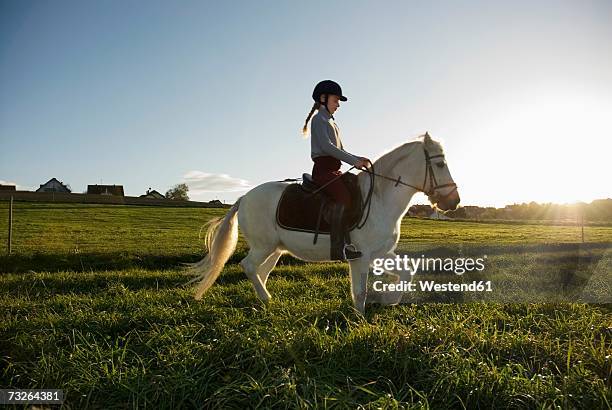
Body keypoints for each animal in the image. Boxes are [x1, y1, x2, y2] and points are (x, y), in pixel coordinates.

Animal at [186, 135, 460, 314]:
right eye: (439, 164)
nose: (454, 201)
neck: (380, 198)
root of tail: (244, 197)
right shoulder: (362, 256)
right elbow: (360, 292)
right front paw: (360, 320)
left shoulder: (380, 253)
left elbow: (407, 271)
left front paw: (389, 299)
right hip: (263, 246)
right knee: (248, 266)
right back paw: (267, 299)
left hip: (274, 249)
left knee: (260, 271)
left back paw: (263, 300)